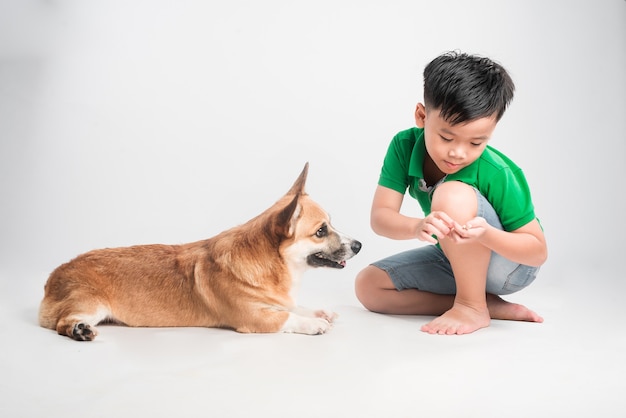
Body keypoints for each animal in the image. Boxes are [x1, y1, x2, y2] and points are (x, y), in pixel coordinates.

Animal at [37, 162, 360, 340]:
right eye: (321, 231)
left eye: (330, 224)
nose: (359, 245)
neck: (276, 266)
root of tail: (54, 275)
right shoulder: (256, 317)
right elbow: (288, 317)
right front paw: (315, 323)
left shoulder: (277, 301)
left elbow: (295, 306)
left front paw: (319, 311)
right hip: (92, 306)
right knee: (63, 323)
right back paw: (79, 331)